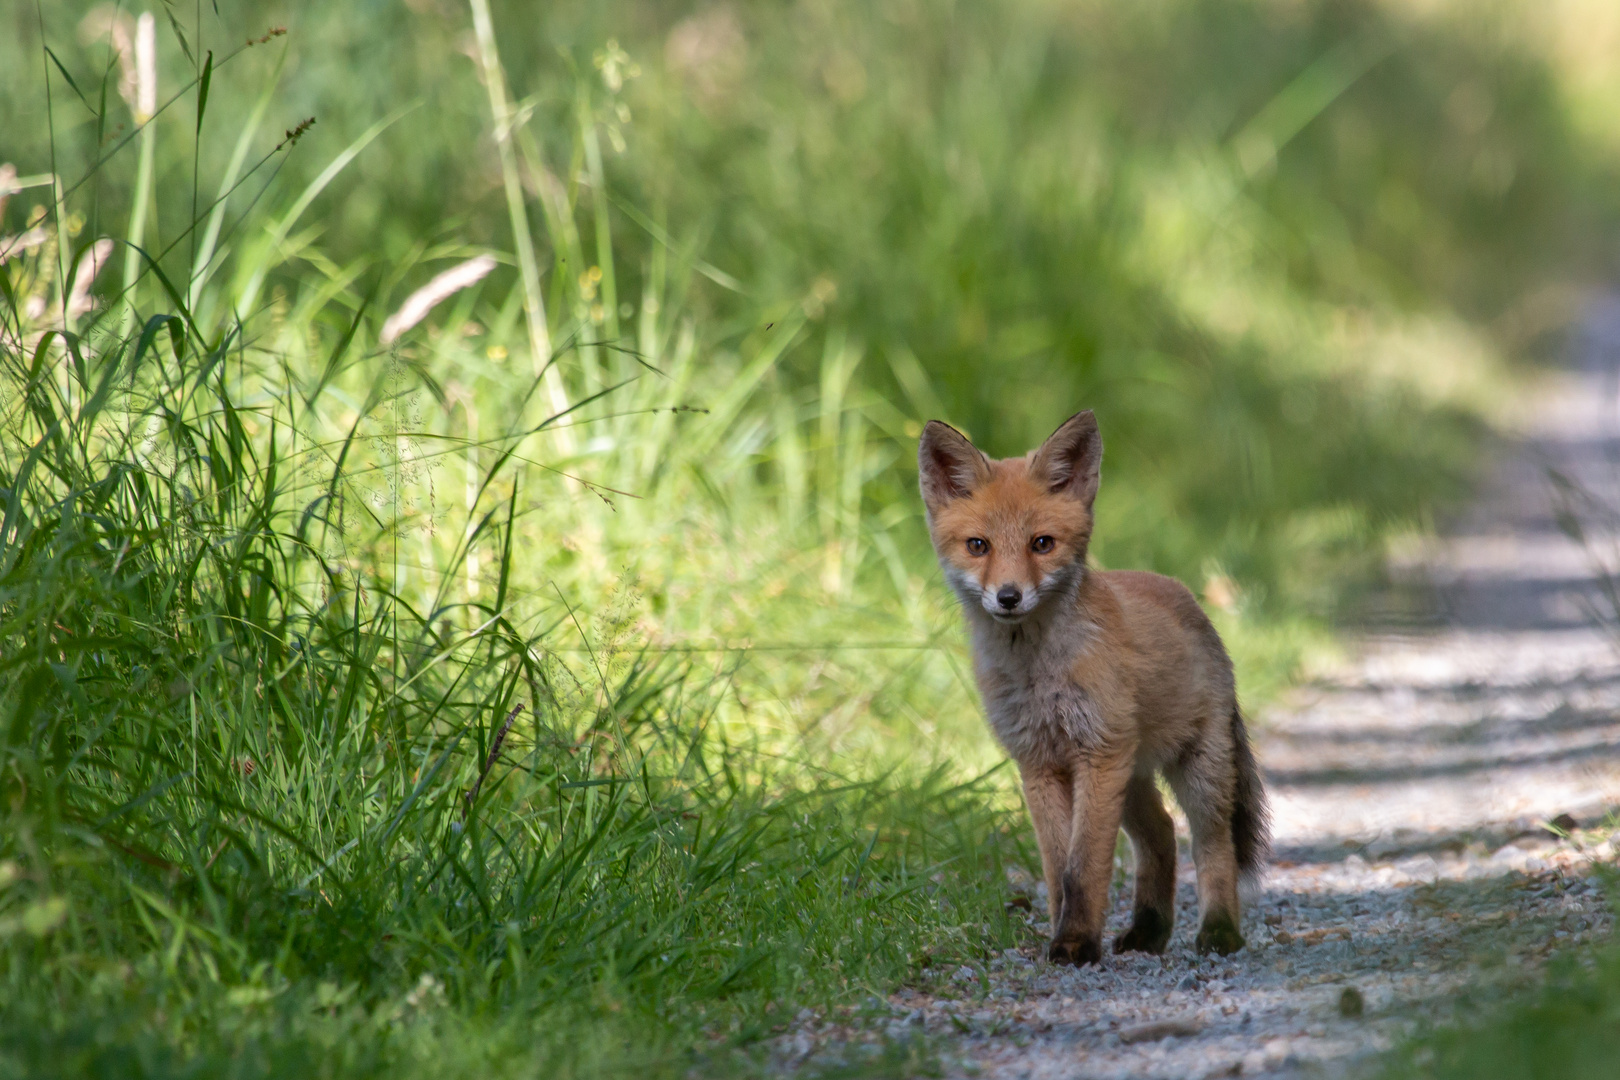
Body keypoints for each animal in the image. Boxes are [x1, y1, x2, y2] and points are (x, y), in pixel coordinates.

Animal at [920, 411, 1270, 965]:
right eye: (979, 546)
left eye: (1042, 543)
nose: (1009, 597)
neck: (1039, 675)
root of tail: (1187, 598)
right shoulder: (1039, 763)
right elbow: (1056, 869)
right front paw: (1063, 933)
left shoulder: (1097, 755)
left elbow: (1083, 868)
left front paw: (1076, 941)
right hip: (1131, 775)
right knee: (1162, 835)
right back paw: (1149, 932)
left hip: (1197, 766)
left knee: (1212, 844)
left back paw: (1219, 931)